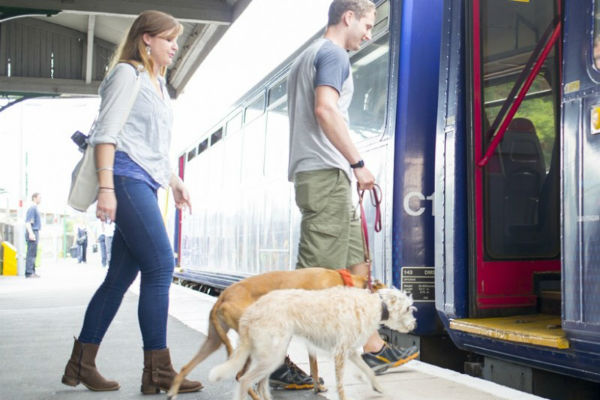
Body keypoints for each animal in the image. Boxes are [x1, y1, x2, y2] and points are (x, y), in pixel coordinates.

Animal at [166, 266, 368, 400]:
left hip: (213, 341)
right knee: (241, 377)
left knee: (185, 368)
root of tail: (223, 297)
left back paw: (173, 392)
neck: (342, 280)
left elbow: (314, 364)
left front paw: (317, 387)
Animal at [209, 286, 414, 400]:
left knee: (260, 385)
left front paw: (377, 386)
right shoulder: (340, 354)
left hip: (271, 357)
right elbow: (341, 385)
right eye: (407, 309)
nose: (414, 325)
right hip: (271, 357)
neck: (376, 306)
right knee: (245, 381)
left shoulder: (350, 352)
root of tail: (249, 313)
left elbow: (368, 369)